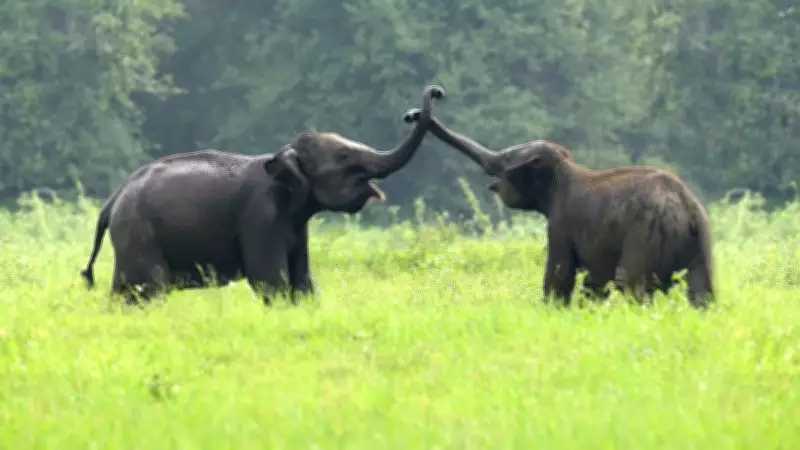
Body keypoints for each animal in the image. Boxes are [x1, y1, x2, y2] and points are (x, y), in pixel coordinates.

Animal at [78, 85, 445, 305]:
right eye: (343, 156)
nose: (434, 94)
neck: (280, 154)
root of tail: (111, 202)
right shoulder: (260, 216)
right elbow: (270, 280)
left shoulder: (296, 224)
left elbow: (303, 279)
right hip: (139, 234)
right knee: (147, 290)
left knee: (124, 291)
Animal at [401, 108, 714, 309]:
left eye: (506, 159)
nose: (412, 114)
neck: (565, 168)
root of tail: (687, 208)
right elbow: (593, 282)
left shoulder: (561, 222)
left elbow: (560, 275)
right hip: (700, 243)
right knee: (702, 292)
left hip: (644, 236)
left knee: (630, 284)